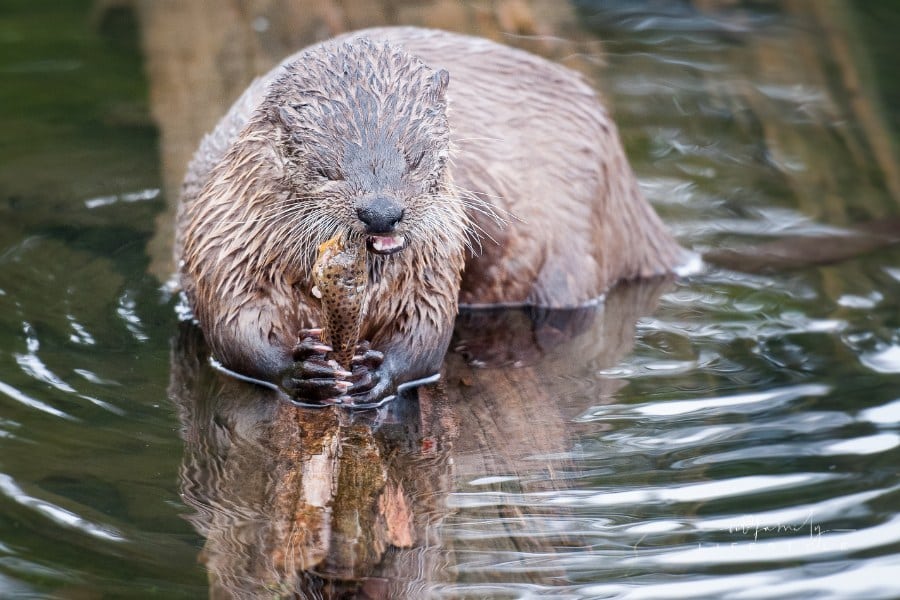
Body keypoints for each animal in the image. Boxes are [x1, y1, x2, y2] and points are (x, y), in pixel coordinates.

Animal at [175, 27, 685, 404]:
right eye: (327, 169)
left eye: (416, 157)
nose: (382, 211)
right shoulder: (224, 237)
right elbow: (230, 322)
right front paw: (298, 371)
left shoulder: (436, 260)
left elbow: (429, 328)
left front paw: (378, 376)